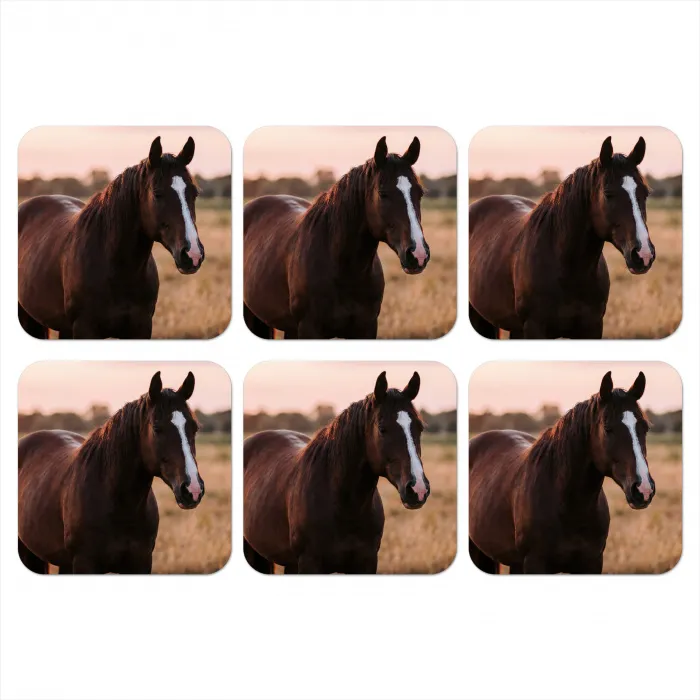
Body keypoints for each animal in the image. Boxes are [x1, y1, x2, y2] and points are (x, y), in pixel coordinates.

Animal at [243, 136, 430, 339]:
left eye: (420, 193)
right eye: (383, 193)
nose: (418, 254)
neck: (343, 269)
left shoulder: (366, 328)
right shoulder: (309, 329)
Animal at [243, 371, 430, 574]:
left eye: (420, 427)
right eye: (382, 429)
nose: (418, 489)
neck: (343, 505)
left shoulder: (367, 562)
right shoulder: (309, 563)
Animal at [469, 371, 655, 574]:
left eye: (645, 427)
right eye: (608, 428)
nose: (643, 489)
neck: (568, 505)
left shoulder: (592, 563)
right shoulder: (535, 564)